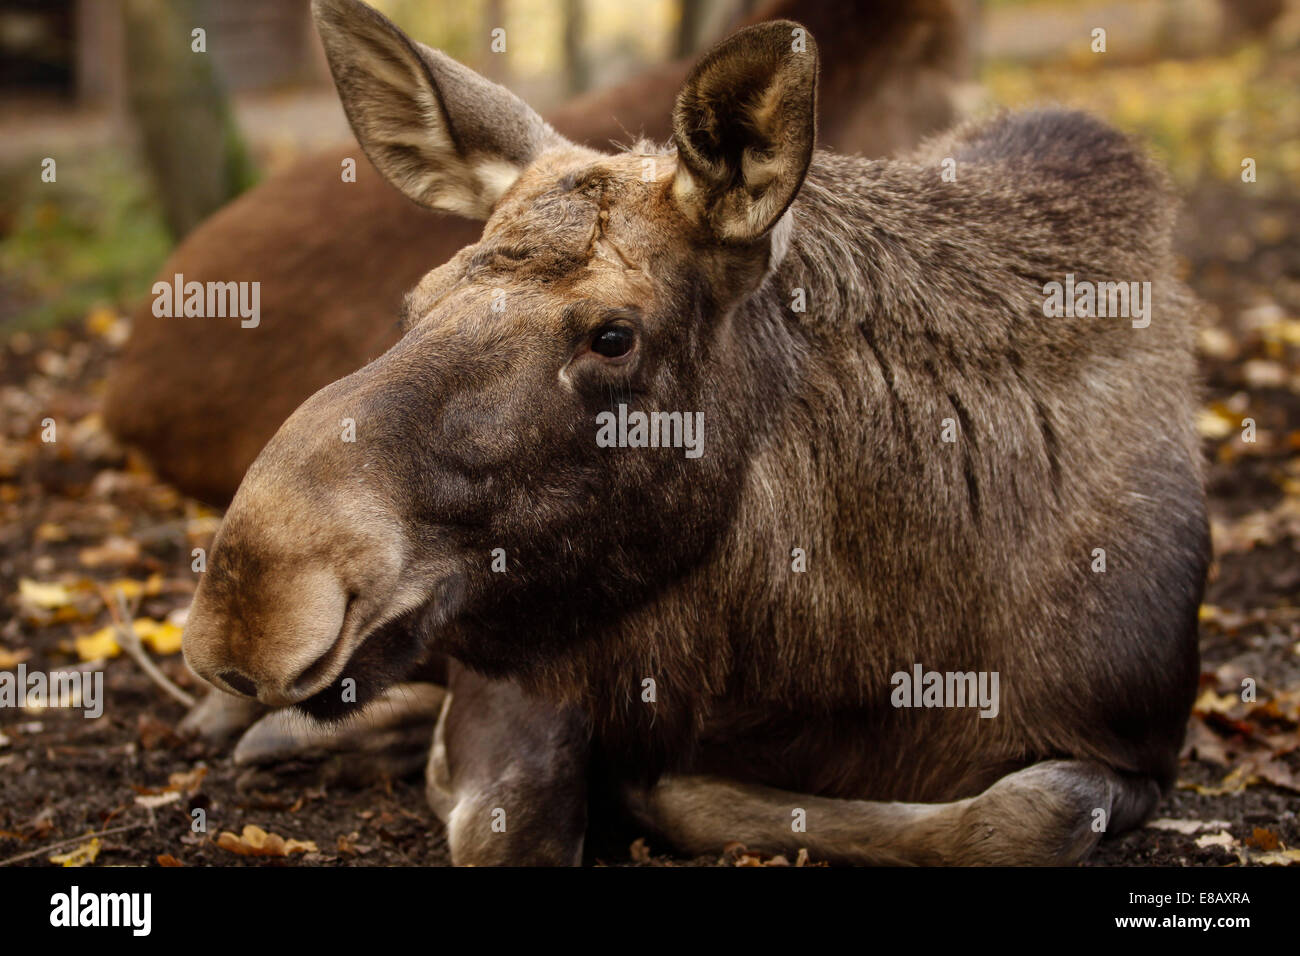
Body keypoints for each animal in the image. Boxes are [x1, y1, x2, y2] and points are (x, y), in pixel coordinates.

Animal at [180, 0, 1206, 868]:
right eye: (415, 302)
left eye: (613, 336)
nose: (250, 598)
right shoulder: (539, 652)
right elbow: (517, 811)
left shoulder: (1138, 746)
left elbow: (1021, 814)